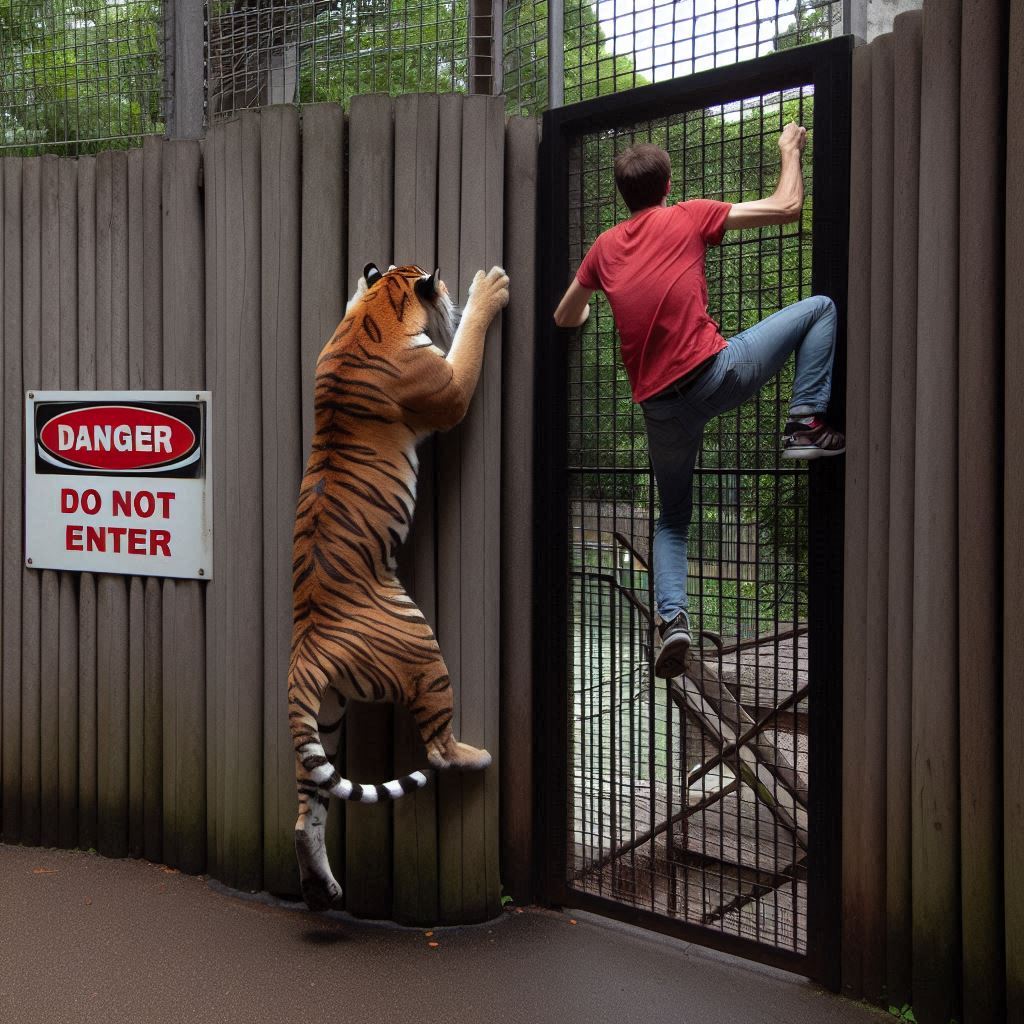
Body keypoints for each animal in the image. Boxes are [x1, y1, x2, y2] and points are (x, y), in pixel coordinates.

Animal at [288, 260, 512, 909]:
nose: (453, 287)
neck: (376, 312)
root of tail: (305, 653)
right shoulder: (451, 386)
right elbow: (467, 347)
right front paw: (487, 290)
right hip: (423, 651)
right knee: (436, 747)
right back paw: (476, 756)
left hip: (327, 718)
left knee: (307, 809)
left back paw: (324, 885)